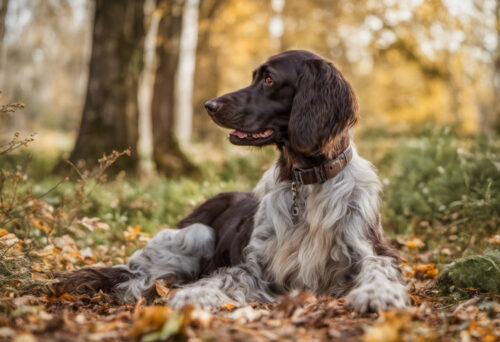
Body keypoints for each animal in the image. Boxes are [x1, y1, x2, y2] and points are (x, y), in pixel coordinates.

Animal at [54, 49, 408, 314]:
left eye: (269, 79)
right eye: (254, 77)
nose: (209, 105)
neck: (307, 183)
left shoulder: (372, 248)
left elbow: (379, 267)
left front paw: (378, 294)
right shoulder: (256, 266)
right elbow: (223, 279)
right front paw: (191, 295)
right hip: (197, 232)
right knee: (132, 277)